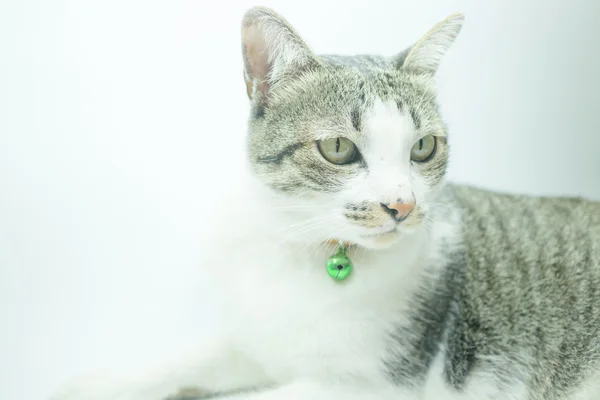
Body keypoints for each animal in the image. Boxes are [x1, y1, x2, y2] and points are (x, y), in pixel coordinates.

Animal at [54, 5, 600, 400]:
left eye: (423, 147)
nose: (402, 205)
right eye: (339, 148)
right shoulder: (257, 343)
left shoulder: (376, 387)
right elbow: (190, 360)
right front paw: (100, 383)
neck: (298, 250)